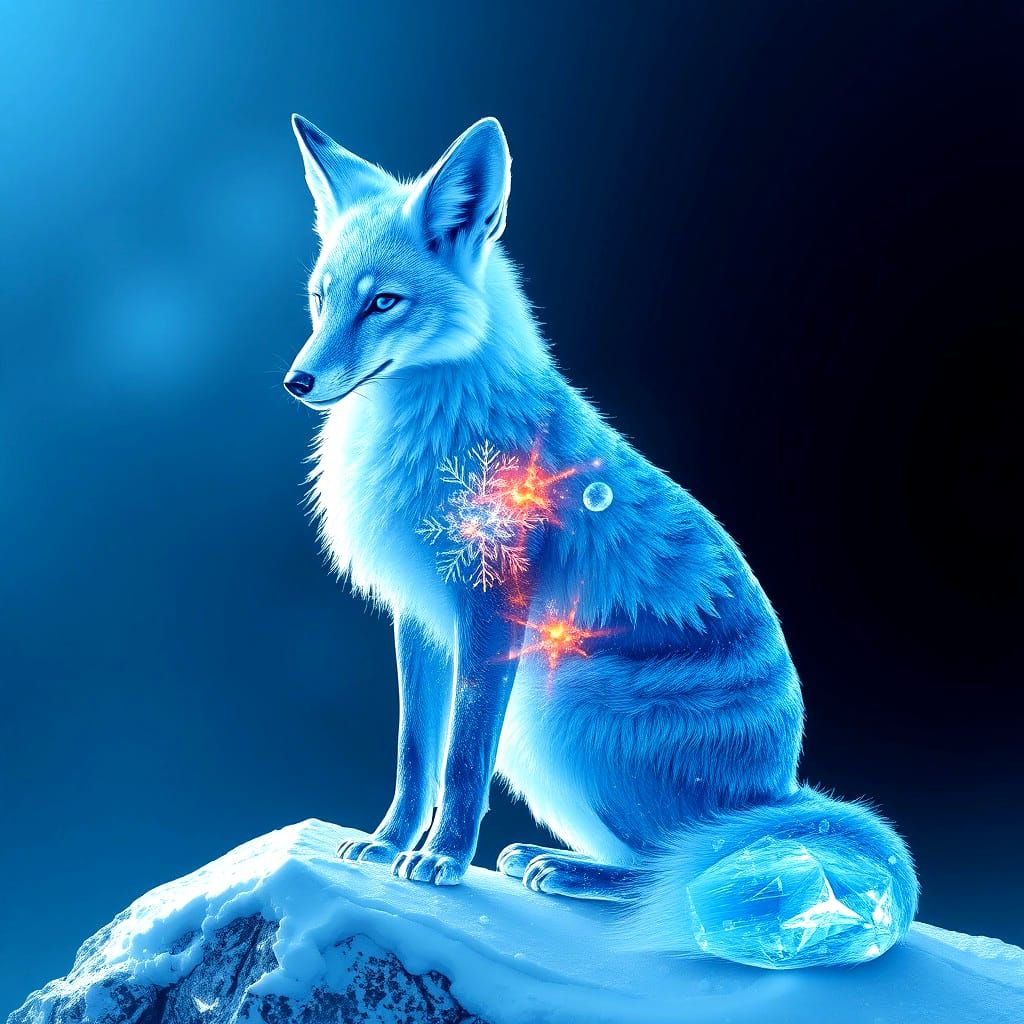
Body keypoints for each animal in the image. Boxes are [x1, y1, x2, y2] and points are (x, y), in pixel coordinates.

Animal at [282, 113, 918, 969]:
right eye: (321, 301)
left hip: (555, 711)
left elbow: (461, 761)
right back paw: (548, 860)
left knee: (680, 870)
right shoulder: (419, 618)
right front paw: (387, 846)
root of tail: (778, 788)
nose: (298, 382)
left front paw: (442, 860)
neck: (427, 432)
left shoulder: (494, 609)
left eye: (384, 303)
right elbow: (416, 754)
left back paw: (569, 873)